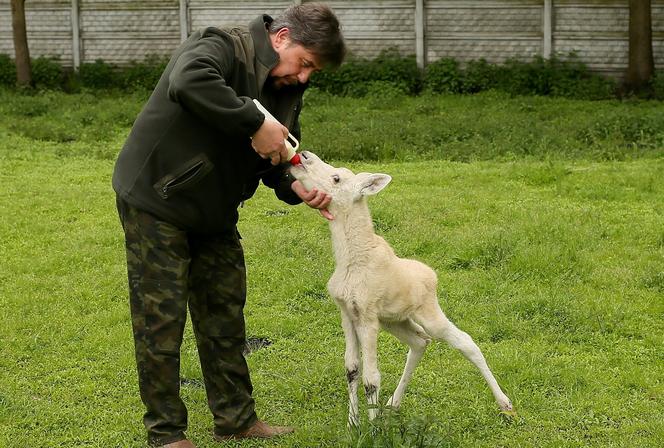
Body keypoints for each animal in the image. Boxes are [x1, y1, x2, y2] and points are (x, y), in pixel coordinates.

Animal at [288, 150, 510, 424]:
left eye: (336, 178)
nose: (303, 155)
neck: (349, 262)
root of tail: (432, 276)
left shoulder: (368, 315)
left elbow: (371, 377)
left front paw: (373, 428)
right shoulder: (347, 313)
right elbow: (352, 369)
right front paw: (353, 424)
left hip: (427, 311)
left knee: (464, 342)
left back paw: (505, 403)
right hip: (395, 320)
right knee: (420, 342)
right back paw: (393, 403)